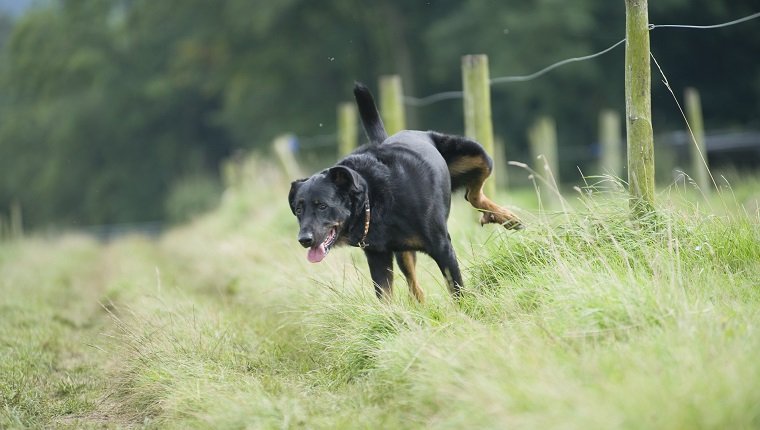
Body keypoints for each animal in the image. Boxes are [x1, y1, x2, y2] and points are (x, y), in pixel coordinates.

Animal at [288, 82, 524, 300]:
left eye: (322, 206)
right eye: (298, 210)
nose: (304, 239)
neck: (373, 200)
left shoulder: (442, 246)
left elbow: (456, 288)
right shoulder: (378, 256)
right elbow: (385, 296)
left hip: (477, 153)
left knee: (474, 192)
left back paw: (505, 217)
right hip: (403, 253)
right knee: (415, 288)